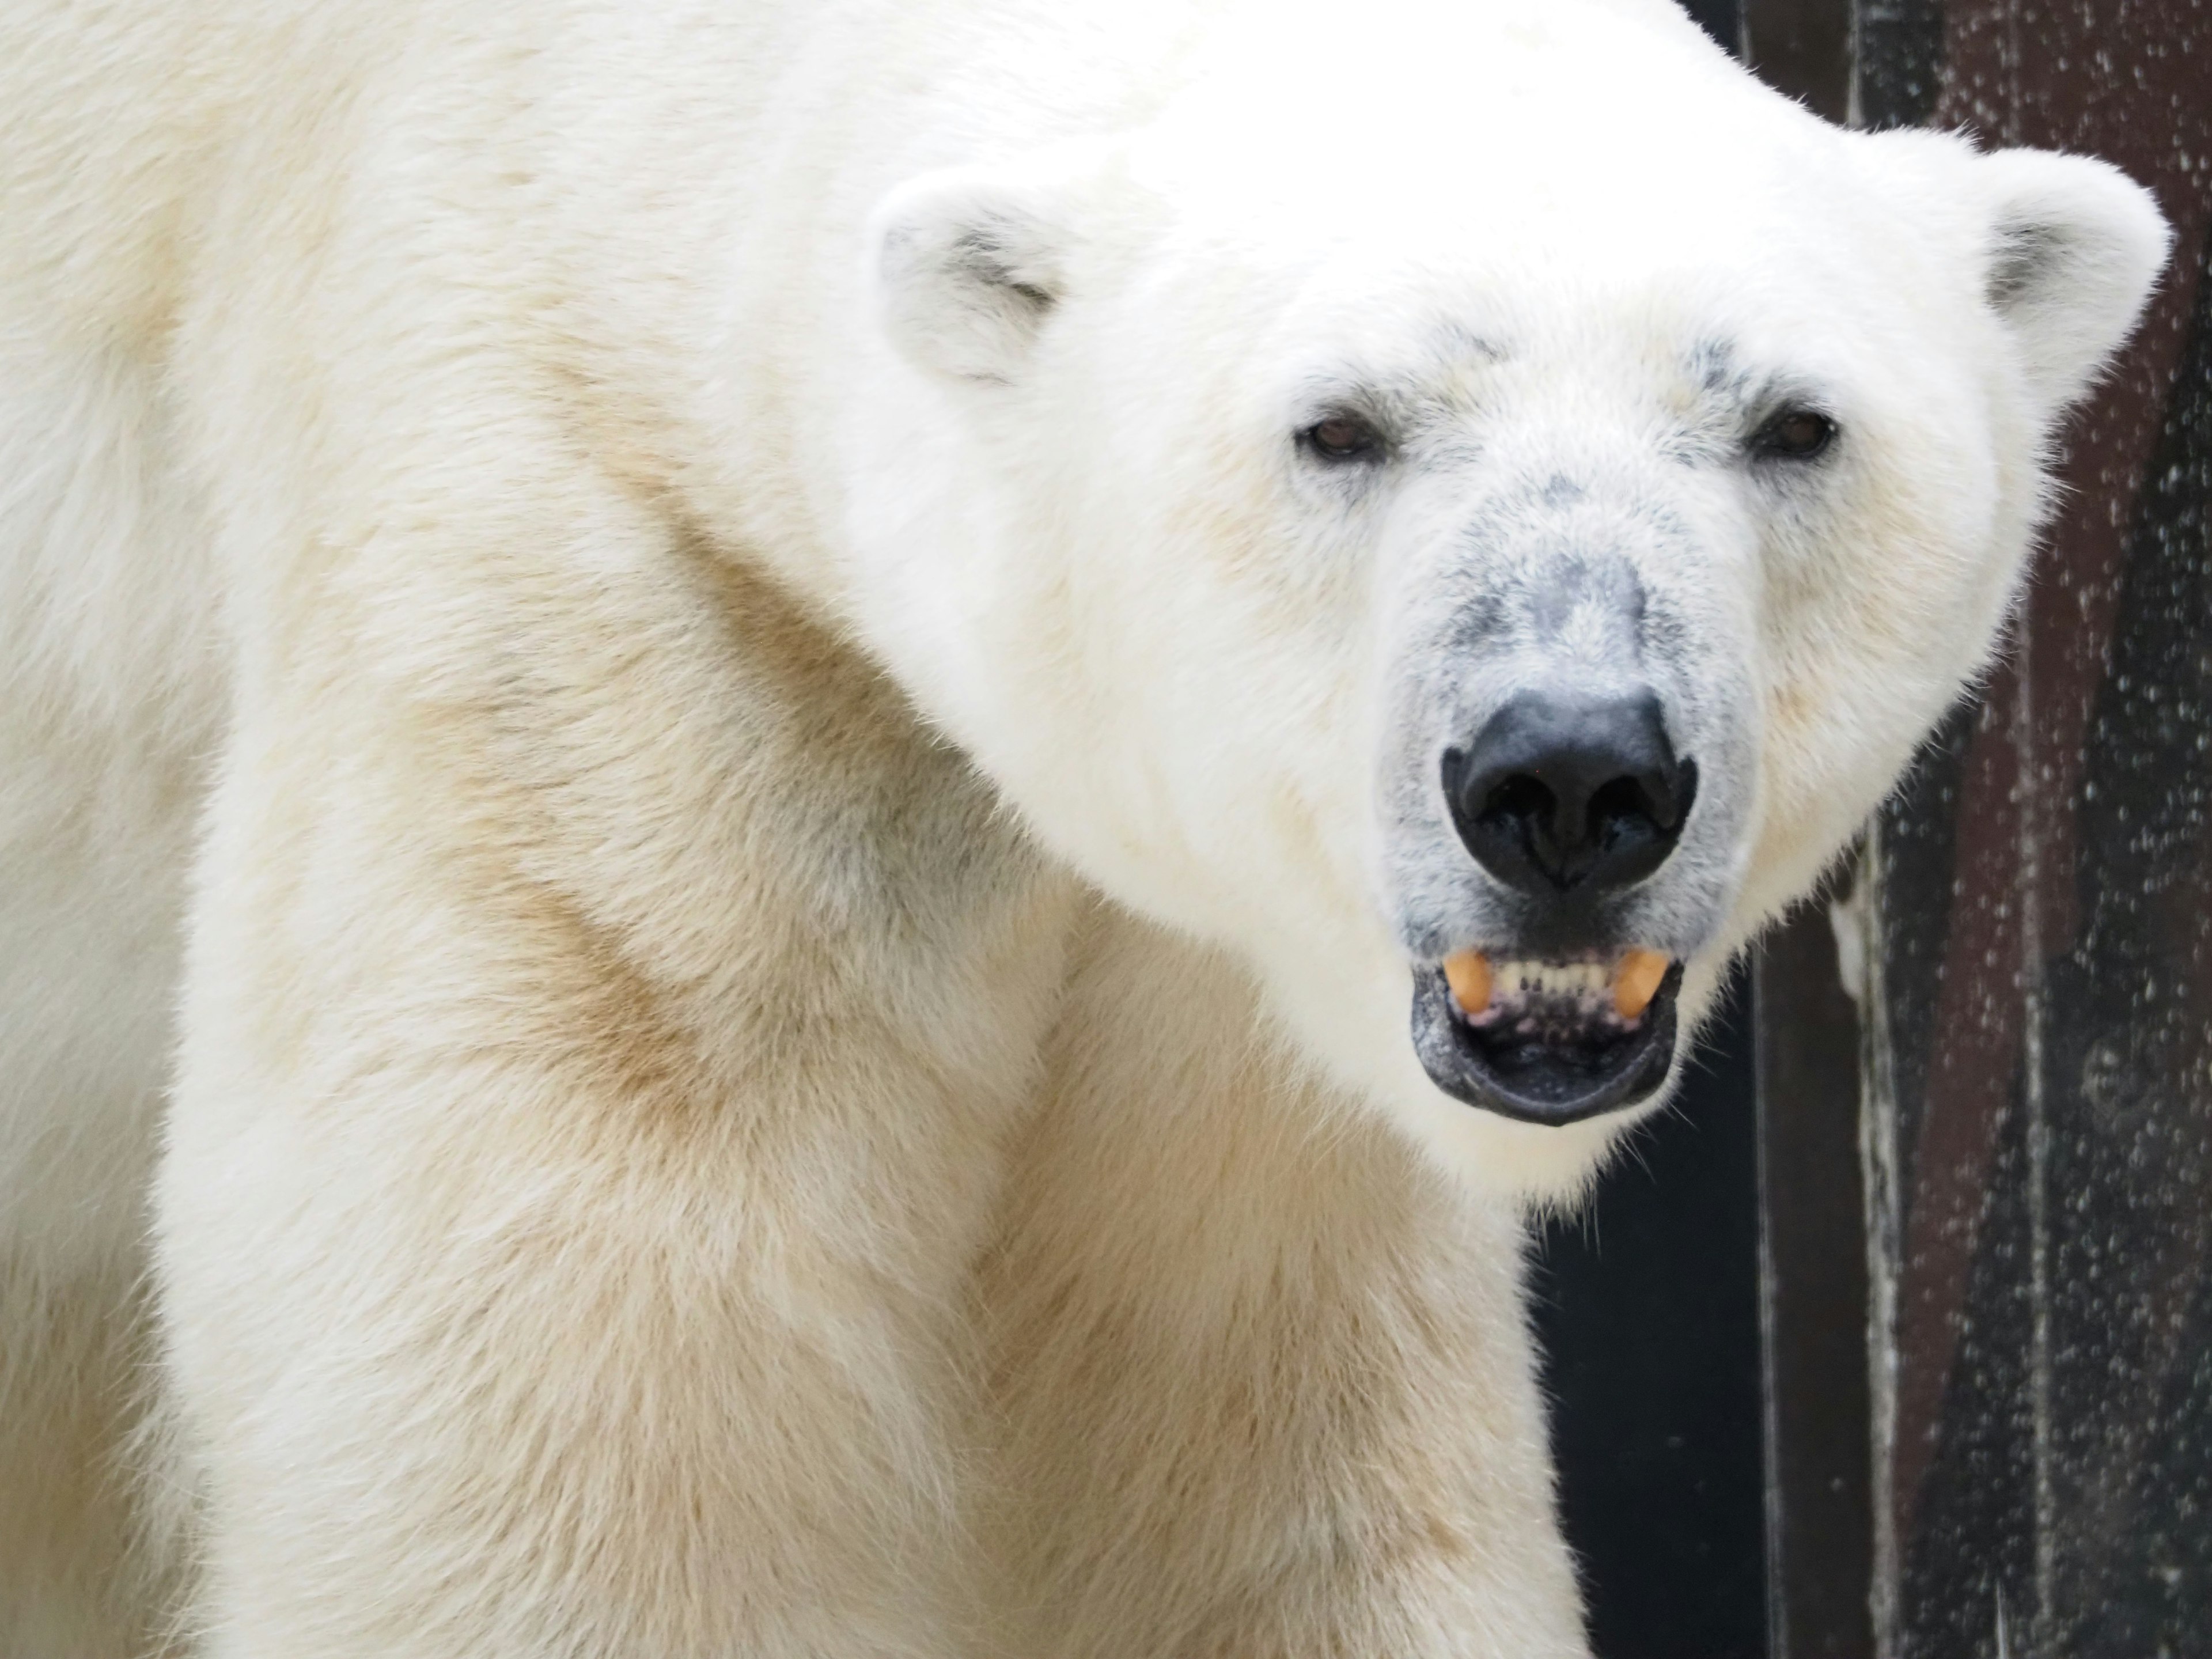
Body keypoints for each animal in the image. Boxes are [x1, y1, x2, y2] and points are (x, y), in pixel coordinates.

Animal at [0, 0, 2158, 1654]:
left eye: (1791, 423)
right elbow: (582, 1393)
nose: (1568, 780)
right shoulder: (583, 572)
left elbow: (1224, 1416)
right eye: (1339, 426)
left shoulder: (1213, 962)